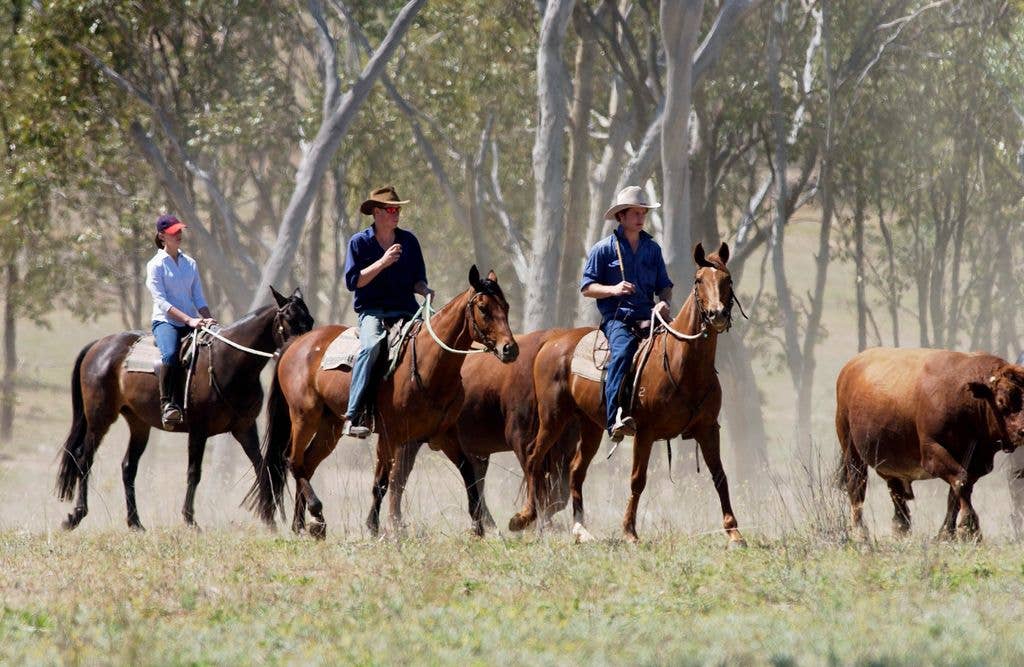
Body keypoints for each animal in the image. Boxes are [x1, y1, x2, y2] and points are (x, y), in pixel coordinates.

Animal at [55, 287, 314, 531]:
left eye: (310, 320)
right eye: (289, 318)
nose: (303, 352)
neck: (226, 362)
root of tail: (98, 346)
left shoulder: (244, 428)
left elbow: (262, 468)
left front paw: (268, 519)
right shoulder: (199, 430)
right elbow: (194, 473)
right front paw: (190, 520)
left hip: (139, 424)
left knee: (128, 467)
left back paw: (135, 523)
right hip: (99, 419)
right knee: (84, 459)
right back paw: (76, 515)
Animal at [249, 266, 518, 539]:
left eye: (506, 306)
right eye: (483, 308)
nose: (510, 349)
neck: (427, 364)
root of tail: (295, 344)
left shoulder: (444, 434)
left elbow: (468, 475)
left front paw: (478, 527)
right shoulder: (390, 434)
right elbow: (381, 482)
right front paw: (373, 527)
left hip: (329, 426)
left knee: (307, 463)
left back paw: (303, 525)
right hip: (304, 416)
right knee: (292, 460)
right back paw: (315, 513)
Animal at [373, 329, 582, 536]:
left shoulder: (563, 448)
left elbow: (557, 494)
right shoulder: (521, 439)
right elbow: (540, 486)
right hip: (410, 440)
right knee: (398, 477)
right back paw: (395, 525)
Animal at [508, 242, 745, 546]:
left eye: (727, 279)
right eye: (698, 280)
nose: (717, 314)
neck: (682, 363)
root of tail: (552, 342)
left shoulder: (708, 428)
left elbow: (720, 475)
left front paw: (734, 531)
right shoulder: (645, 432)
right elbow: (637, 479)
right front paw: (630, 531)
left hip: (590, 426)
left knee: (575, 470)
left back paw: (580, 529)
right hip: (552, 418)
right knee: (533, 457)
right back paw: (524, 517)